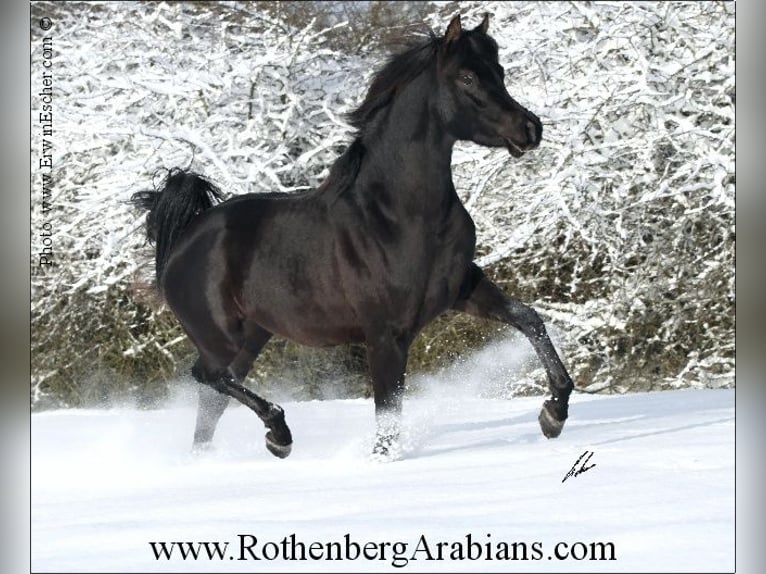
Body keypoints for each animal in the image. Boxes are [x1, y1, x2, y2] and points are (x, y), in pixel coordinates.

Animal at [134, 15, 576, 462]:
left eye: (499, 72)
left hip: (252, 337)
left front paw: (554, 413)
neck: (401, 215)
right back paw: (279, 433)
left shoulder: (465, 288)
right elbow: (388, 414)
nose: (530, 128)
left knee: (212, 401)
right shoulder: (386, 334)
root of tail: (186, 236)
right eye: (467, 77)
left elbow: (528, 318)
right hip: (220, 338)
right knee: (207, 376)